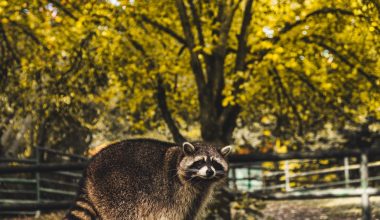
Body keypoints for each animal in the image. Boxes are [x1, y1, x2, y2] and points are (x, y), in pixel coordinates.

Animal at [64, 138, 232, 219]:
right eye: (200, 162)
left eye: (215, 163)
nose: (209, 172)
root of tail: (89, 168)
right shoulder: (174, 195)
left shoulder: (195, 199)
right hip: (116, 189)